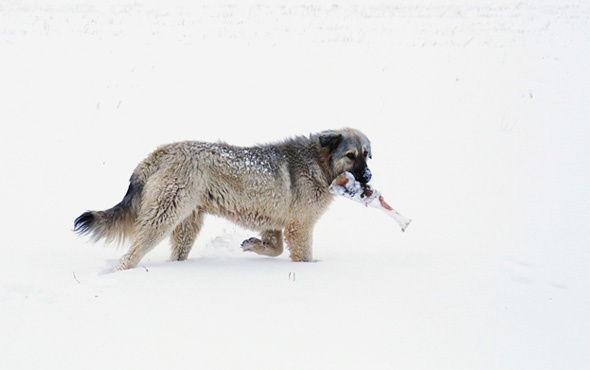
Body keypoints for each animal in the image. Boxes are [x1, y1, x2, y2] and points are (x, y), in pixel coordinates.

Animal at [74, 129, 372, 270]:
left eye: (368, 154)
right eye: (350, 155)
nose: (368, 176)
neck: (318, 164)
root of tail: (161, 152)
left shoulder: (274, 222)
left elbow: (274, 248)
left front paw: (253, 245)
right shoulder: (300, 227)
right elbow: (300, 255)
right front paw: (310, 270)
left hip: (187, 225)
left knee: (175, 255)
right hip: (164, 217)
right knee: (130, 255)